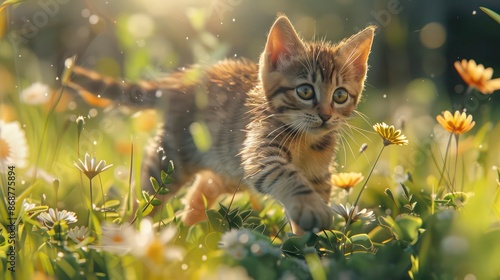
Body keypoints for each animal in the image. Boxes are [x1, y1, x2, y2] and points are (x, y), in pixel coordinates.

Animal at [69, 16, 376, 233]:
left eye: (340, 96)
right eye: (305, 91)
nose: (325, 115)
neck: (307, 141)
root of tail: (182, 81)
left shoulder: (321, 177)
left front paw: (308, 248)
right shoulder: (260, 151)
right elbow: (287, 175)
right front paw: (309, 207)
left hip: (225, 166)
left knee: (199, 194)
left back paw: (188, 233)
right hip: (171, 159)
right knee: (147, 196)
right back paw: (133, 228)